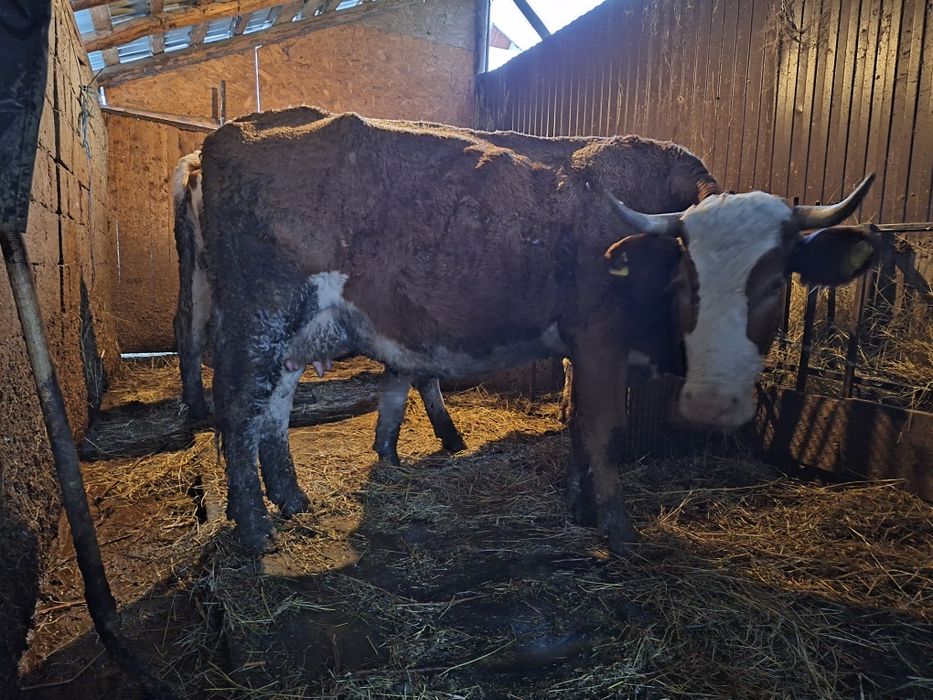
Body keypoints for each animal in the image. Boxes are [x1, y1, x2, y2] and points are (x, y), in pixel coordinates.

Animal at [198, 107, 876, 553]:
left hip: (293, 335)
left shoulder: (582, 350)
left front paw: (579, 507)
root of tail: (238, 129)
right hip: (260, 314)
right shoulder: (599, 339)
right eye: (687, 278)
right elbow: (602, 430)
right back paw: (256, 530)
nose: (712, 403)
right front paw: (618, 532)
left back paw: (291, 500)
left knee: (274, 411)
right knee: (236, 409)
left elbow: (576, 424)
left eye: (775, 281)